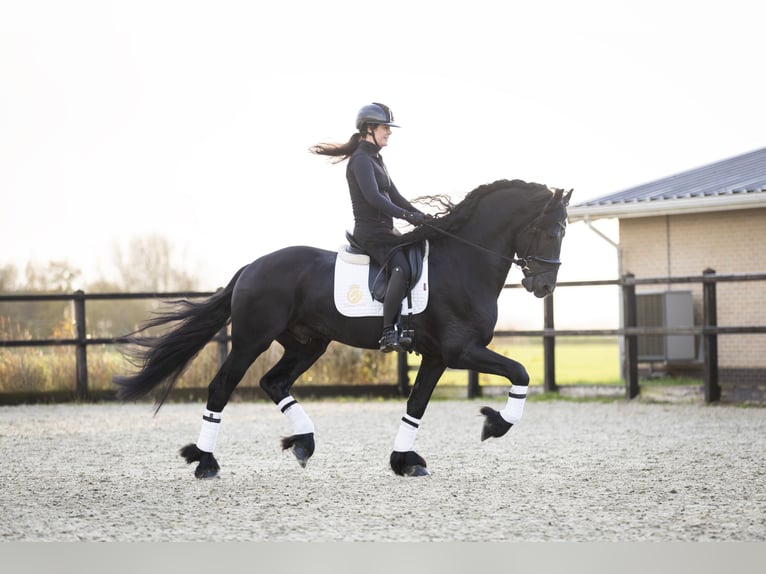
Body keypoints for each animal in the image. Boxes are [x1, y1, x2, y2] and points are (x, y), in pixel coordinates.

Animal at [114, 182, 568, 480]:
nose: (544, 286)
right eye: (554, 231)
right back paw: (206, 462)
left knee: (273, 382)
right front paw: (496, 424)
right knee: (222, 386)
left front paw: (404, 461)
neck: (463, 261)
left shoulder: (438, 356)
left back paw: (302, 443)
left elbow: (416, 405)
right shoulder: (461, 351)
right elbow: (521, 373)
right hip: (251, 339)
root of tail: (253, 266)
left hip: (307, 344)